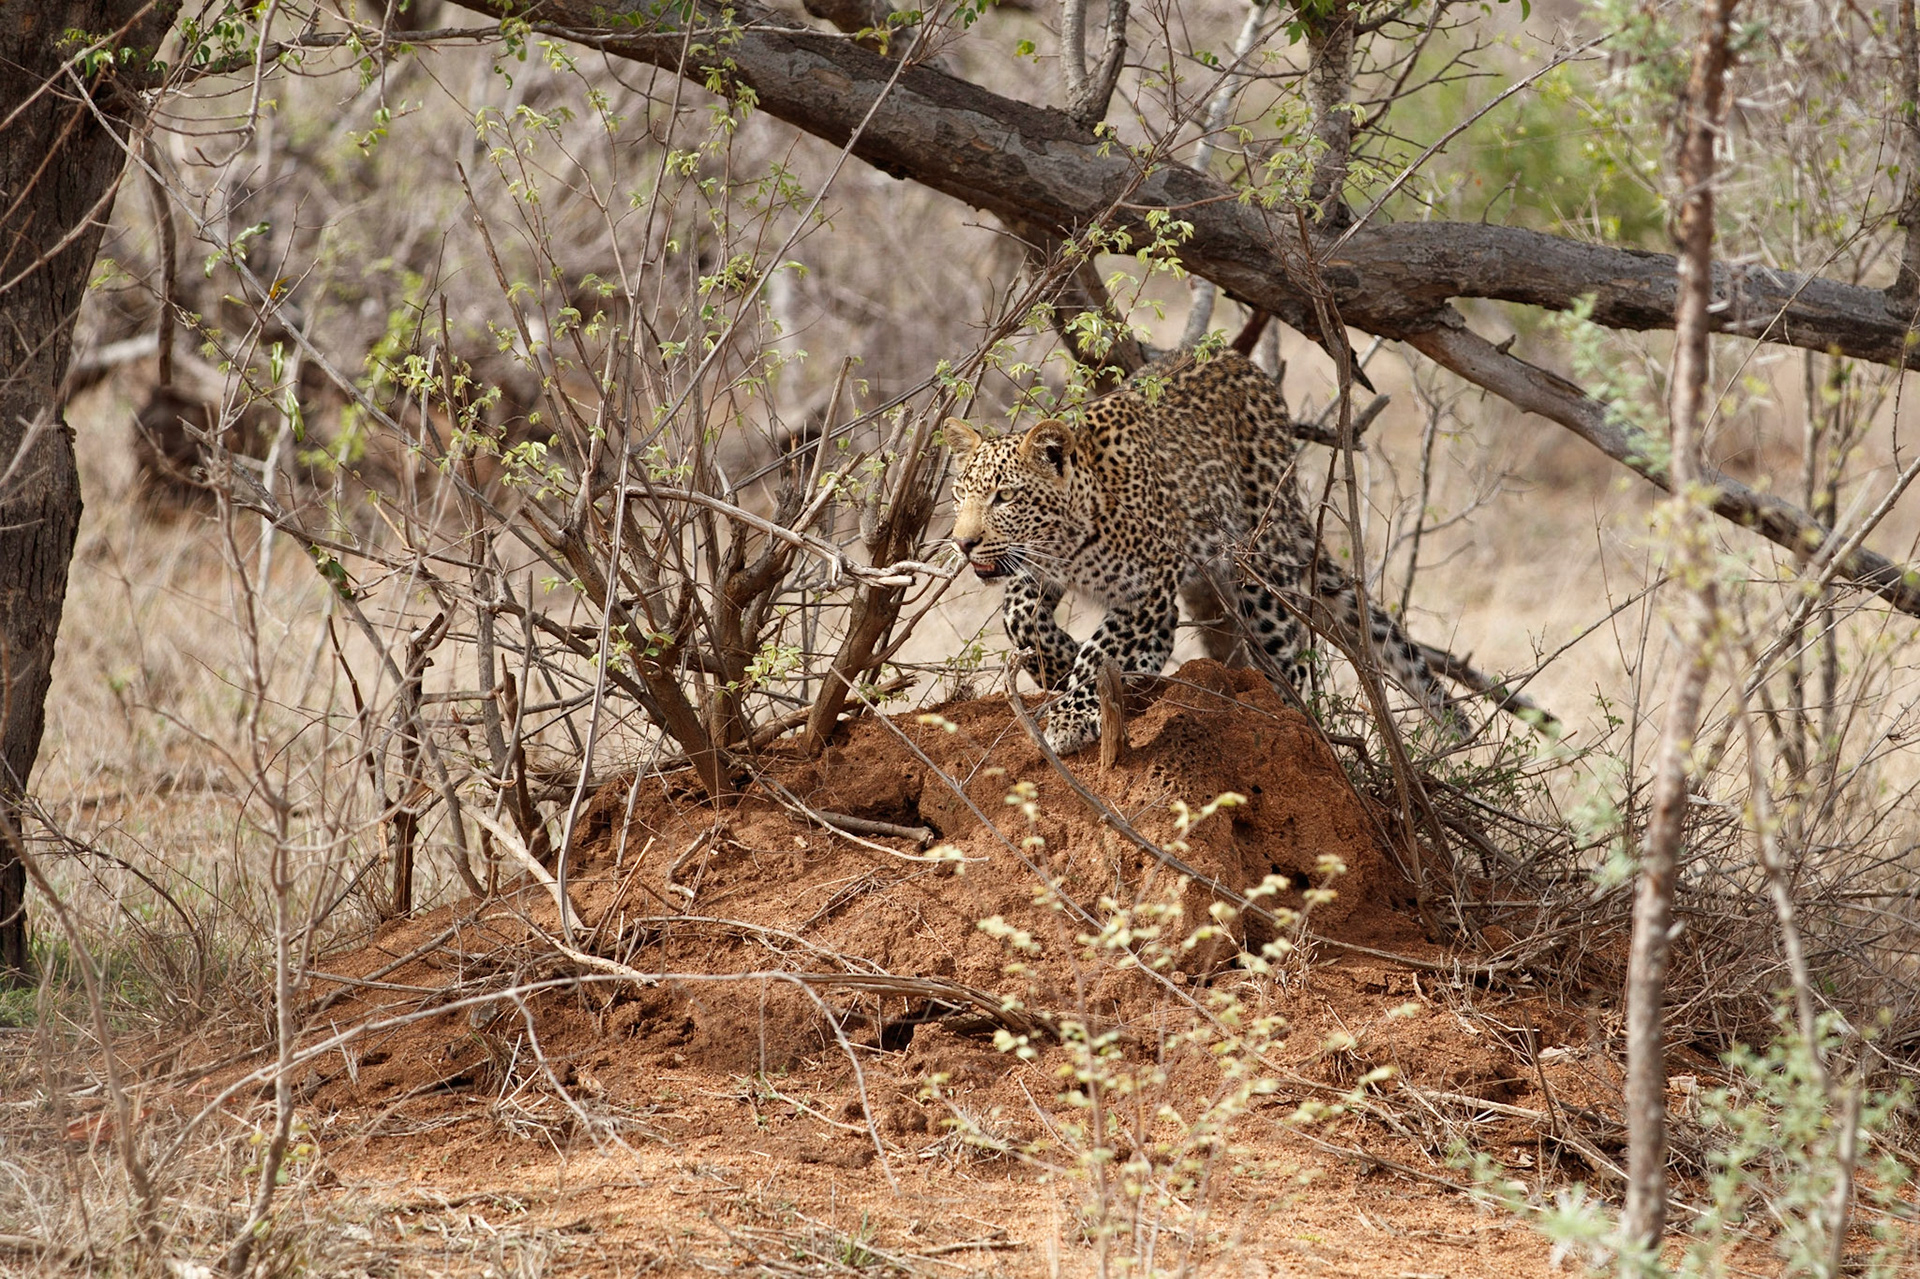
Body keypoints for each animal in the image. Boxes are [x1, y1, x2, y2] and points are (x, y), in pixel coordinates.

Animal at [946, 349, 1452, 755]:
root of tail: (1247, 365)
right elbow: (1019, 618)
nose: (963, 542)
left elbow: (1100, 651)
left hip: (1262, 570)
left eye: (1004, 497)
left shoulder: (1148, 586)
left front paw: (1071, 714)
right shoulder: (1035, 573)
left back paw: (1285, 718)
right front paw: (1058, 666)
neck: (1067, 541)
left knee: (1286, 666)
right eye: (960, 494)